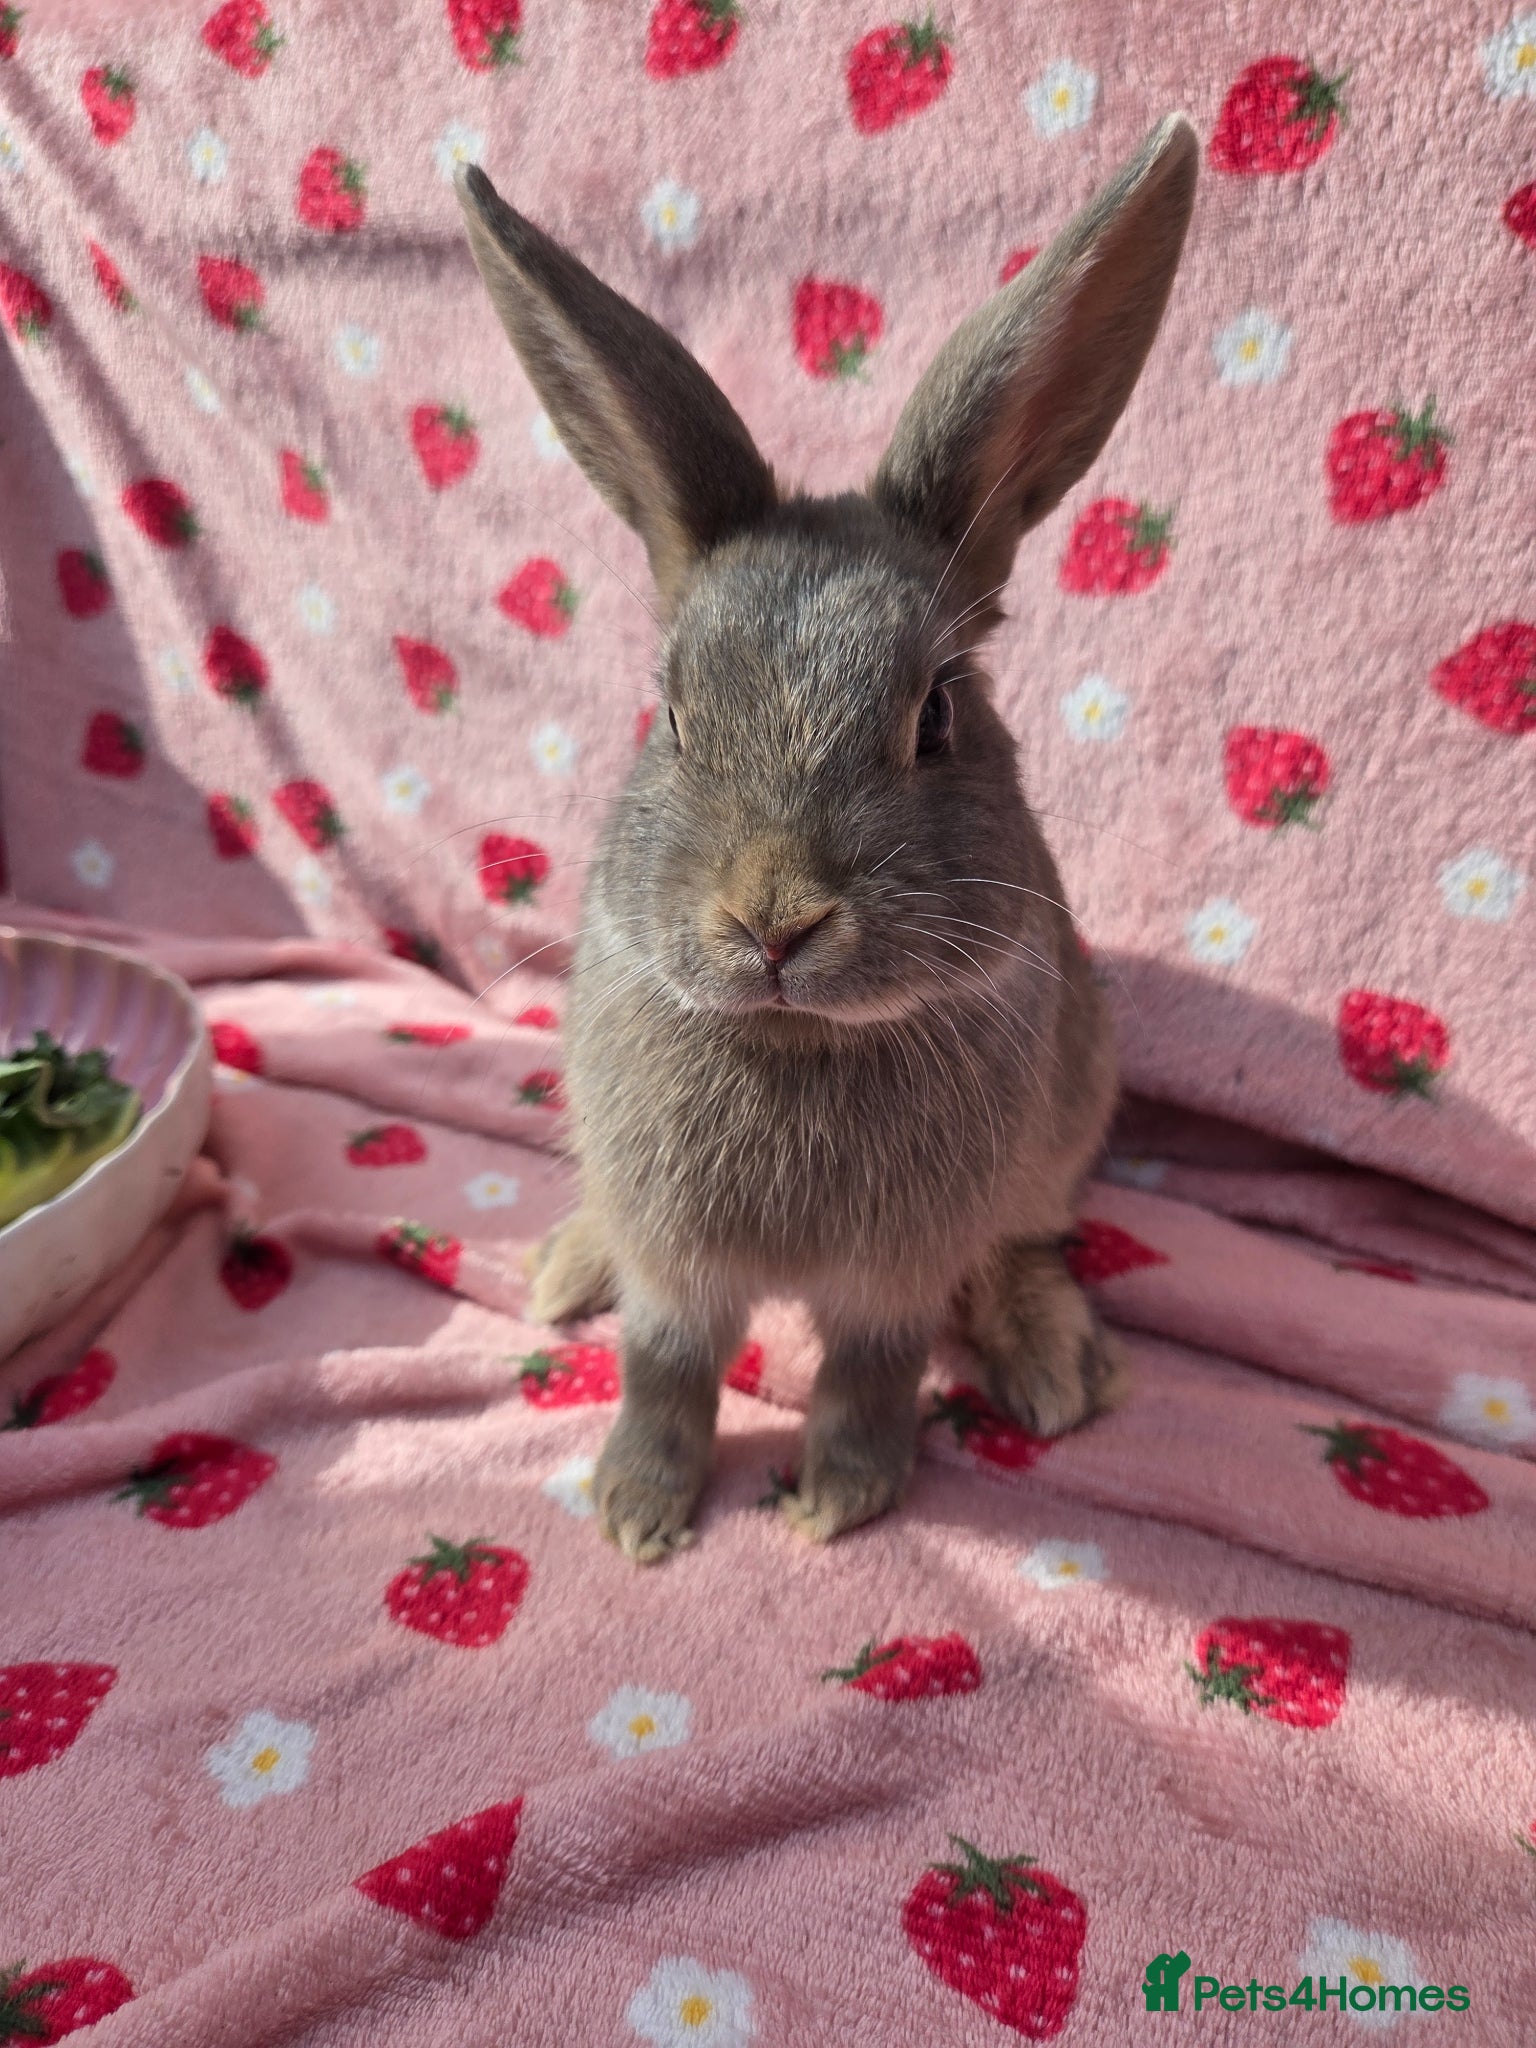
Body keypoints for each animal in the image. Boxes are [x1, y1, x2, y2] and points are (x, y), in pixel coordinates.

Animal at [456, 112, 1198, 1562]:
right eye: (673, 711)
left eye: (939, 712)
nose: (773, 918)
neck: (796, 1040)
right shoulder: (678, 1273)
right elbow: (664, 1368)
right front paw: (636, 1512)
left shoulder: (893, 1279)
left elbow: (870, 1376)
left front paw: (835, 1503)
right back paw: (565, 1267)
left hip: (1061, 1128)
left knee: (1029, 1237)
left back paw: (1050, 1360)